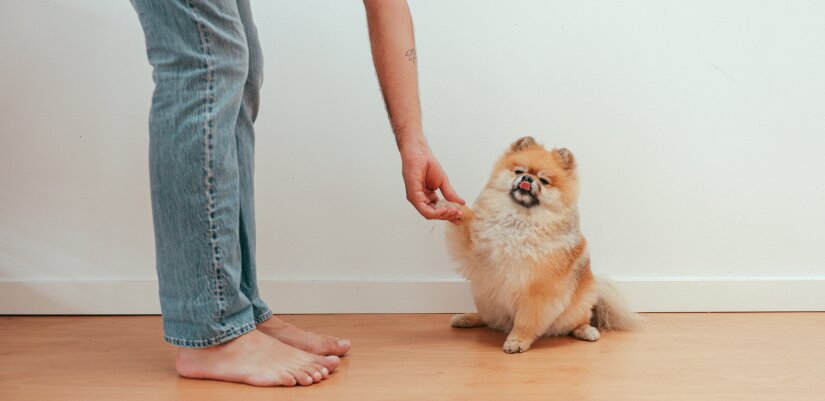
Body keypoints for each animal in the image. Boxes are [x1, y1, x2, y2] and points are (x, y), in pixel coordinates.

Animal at [444, 136, 636, 352]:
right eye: (519, 171)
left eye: (544, 181)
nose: (527, 179)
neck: (519, 220)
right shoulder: (475, 251)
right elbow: (465, 227)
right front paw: (452, 206)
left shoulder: (539, 289)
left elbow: (526, 319)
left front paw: (517, 340)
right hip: (486, 299)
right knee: (488, 319)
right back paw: (466, 318)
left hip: (578, 306)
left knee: (579, 321)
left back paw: (586, 331)